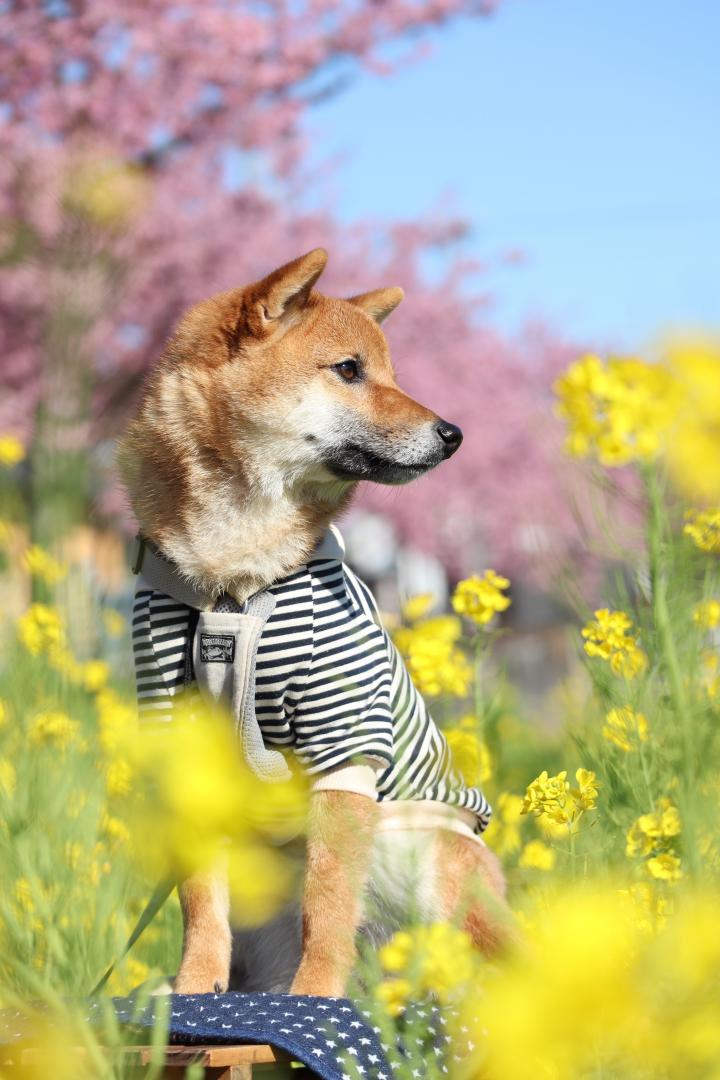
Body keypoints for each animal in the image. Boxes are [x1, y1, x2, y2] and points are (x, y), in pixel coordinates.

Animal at [118, 250, 511, 993]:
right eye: (350, 369)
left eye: (393, 372)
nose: (454, 434)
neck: (233, 581)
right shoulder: (179, 738)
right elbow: (199, 901)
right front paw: (192, 987)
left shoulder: (344, 735)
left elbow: (326, 904)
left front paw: (316, 996)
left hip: (428, 849)